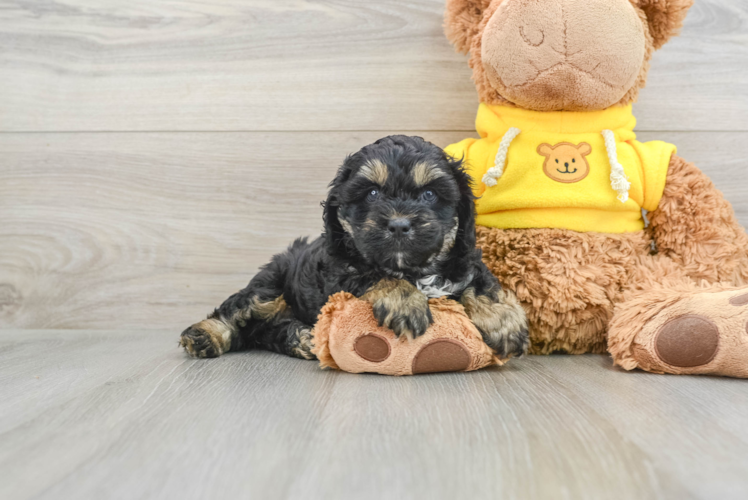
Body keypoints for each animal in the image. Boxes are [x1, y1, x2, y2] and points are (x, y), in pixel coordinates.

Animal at [181, 138, 528, 360]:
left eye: (429, 194)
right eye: (372, 193)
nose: (399, 224)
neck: (411, 268)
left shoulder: (464, 256)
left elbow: (480, 283)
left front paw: (504, 323)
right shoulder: (340, 272)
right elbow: (374, 275)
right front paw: (405, 303)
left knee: (263, 331)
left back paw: (302, 338)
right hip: (269, 286)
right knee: (239, 311)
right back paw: (204, 335)